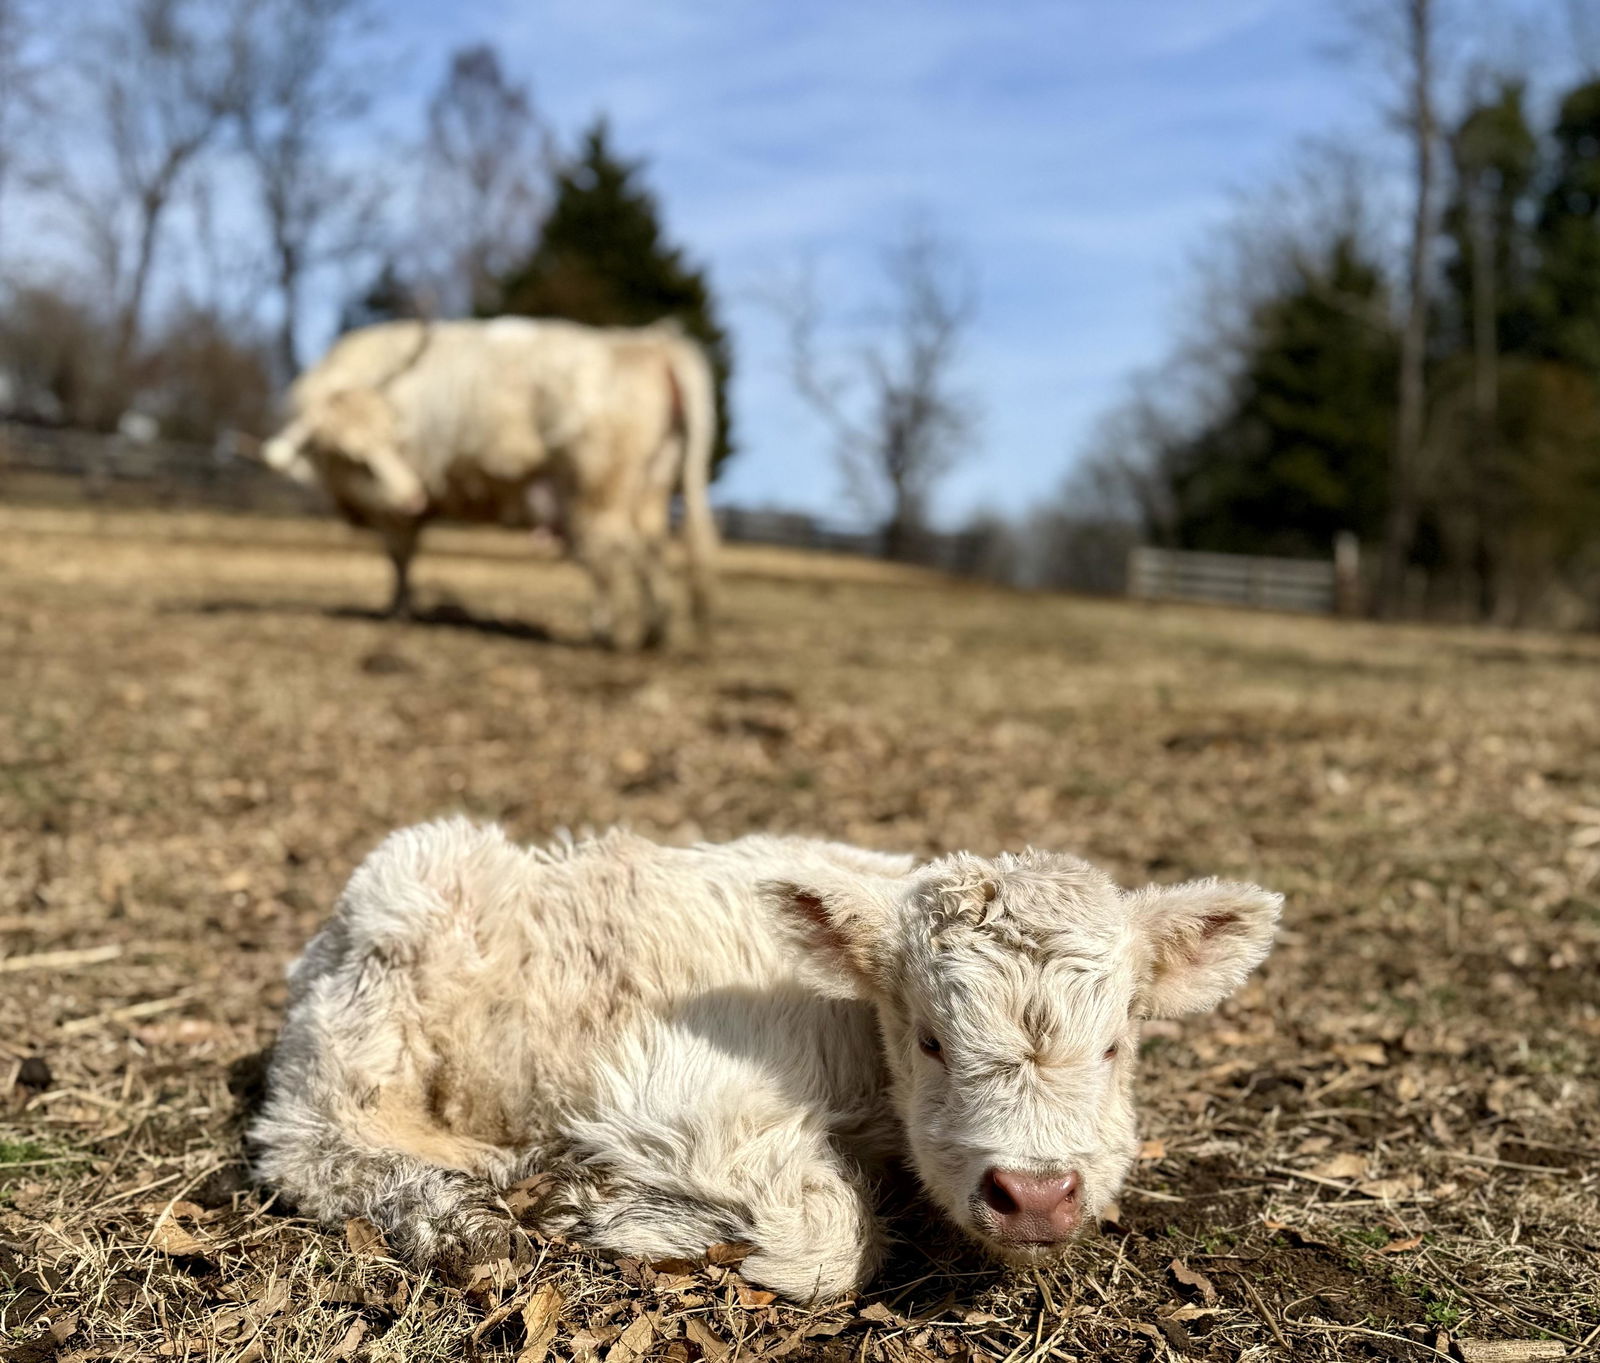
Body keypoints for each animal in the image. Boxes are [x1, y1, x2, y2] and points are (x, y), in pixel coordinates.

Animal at [251, 818, 1281, 1302]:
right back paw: (464, 1209)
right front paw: (600, 1203)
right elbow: (831, 1239)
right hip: (389, 957)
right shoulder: (674, 1090)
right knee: (309, 1138)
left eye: (1115, 1042)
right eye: (931, 1038)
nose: (1033, 1194)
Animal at [261, 317, 717, 649]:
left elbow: (400, 558)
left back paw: (608, 631)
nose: (414, 495)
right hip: (651, 485)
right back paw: (654, 632)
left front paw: (398, 611)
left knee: (612, 553)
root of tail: (653, 342)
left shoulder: (394, 512)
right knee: (650, 547)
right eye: (352, 455)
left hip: (597, 491)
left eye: (391, 439)